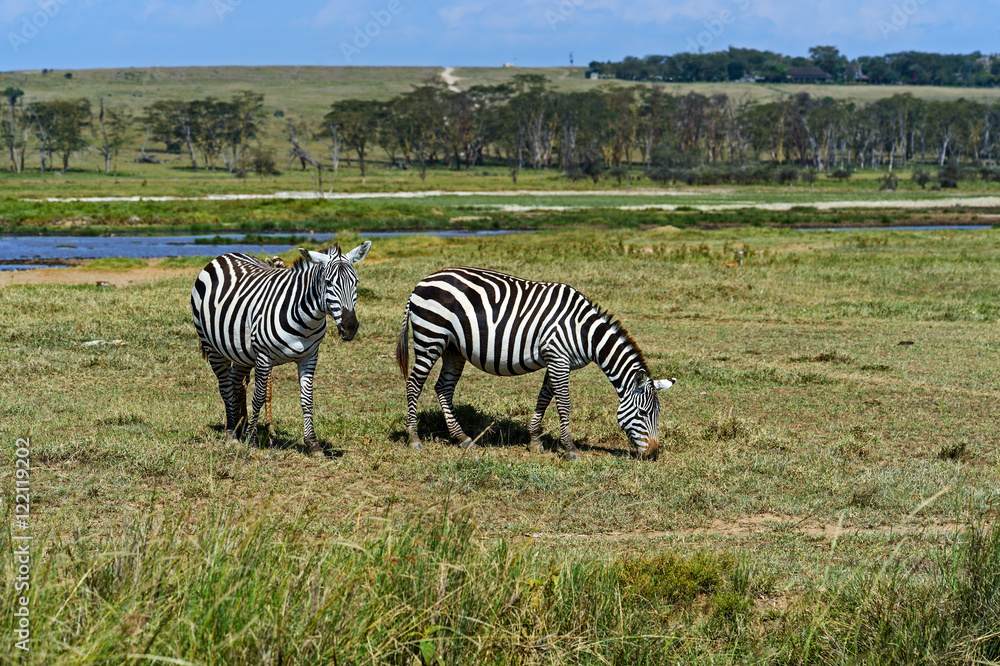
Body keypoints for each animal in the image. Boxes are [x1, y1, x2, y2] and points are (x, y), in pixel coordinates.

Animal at [191, 242, 371, 454]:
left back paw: (238, 427)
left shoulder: (310, 357)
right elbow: (259, 396)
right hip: (213, 347)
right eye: (328, 283)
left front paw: (312, 443)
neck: (306, 320)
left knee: (236, 383)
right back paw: (231, 434)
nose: (350, 327)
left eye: (356, 282)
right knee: (225, 387)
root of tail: (224, 255)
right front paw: (251, 439)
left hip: (241, 352)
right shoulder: (263, 356)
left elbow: (307, 398)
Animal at [395, 267, 675, 460]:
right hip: (430, 337)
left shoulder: (558, 360)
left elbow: (544, 398)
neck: (584, 332)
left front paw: (534, 441)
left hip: (453, 348)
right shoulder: (558, 358)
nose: (653, 454)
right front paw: (570, 449)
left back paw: (462, 437)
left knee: (443, 387)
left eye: (658, 414)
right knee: (414, 384)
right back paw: (413, 437)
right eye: (643, 413)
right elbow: (563, 404)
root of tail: (423, 281)